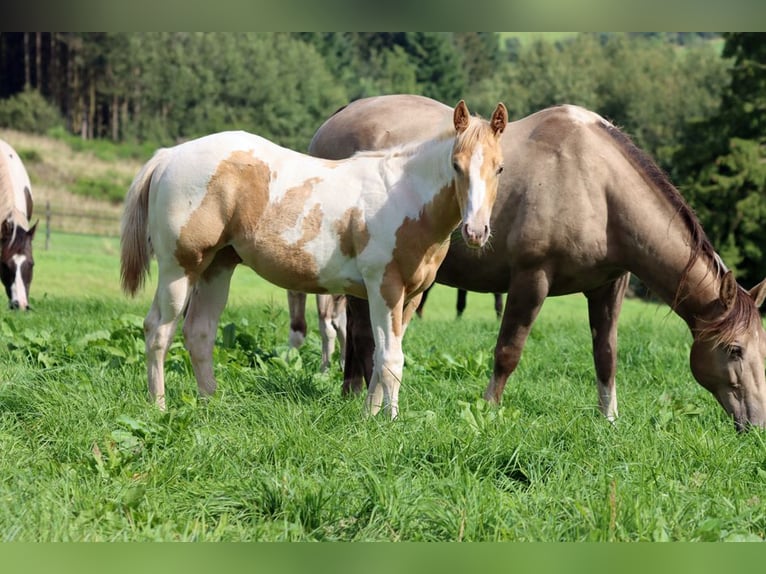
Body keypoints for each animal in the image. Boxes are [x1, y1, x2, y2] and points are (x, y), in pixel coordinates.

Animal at [121, 100, 510, 418]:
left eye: (499, 168)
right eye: (456, 165)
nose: (476, 231)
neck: (406, 197)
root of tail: (169, 155)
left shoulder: (410, 297)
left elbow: (382, 356)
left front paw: (369, 417)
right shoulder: (384, 288)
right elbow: (390, 359)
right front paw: (390, 422)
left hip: (217, 268)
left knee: (199, 332)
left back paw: (210, 404)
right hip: (179, 269)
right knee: (158, 330)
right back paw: (159, 407)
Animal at [304, 94, 766, 432]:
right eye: (734, 349)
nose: (757, 425)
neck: (596, 183)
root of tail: (337, 118)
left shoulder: (608, 284)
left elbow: (606, 354)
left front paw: (609, 418)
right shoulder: (532, 277)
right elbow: (508, 351)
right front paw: (488, 411)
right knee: (360, 333)